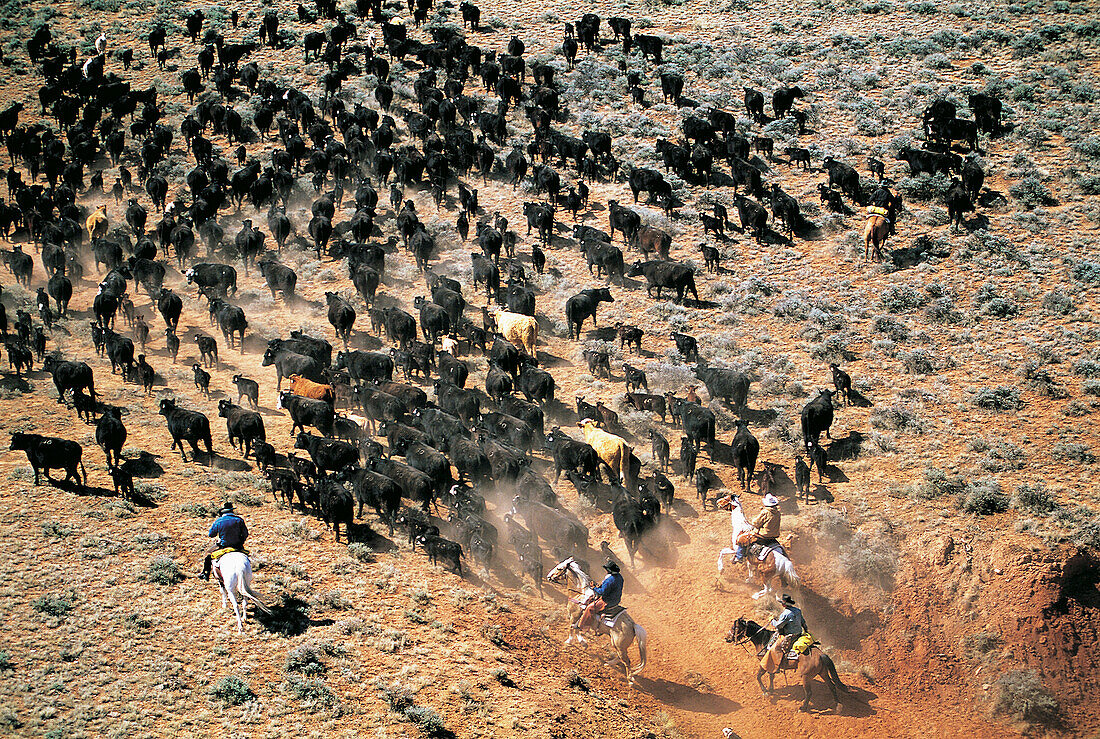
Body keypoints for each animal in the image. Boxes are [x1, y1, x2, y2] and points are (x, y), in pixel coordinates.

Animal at [547, 556, 646, 686]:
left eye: (559, 568)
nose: (549, 576)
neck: (580, 594)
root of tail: (633, 625)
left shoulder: (574, 616)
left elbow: (572, 627)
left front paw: (569, 641)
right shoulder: (578, 618)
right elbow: (577, 628)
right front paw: (583, 642)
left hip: (619, 644)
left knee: (626, 660)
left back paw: (630, 680)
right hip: (617, 644)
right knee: (620, 657)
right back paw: (608, 664)